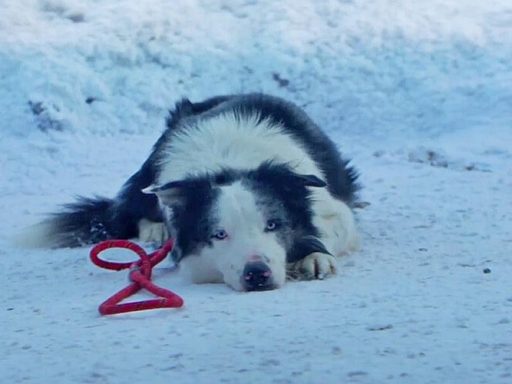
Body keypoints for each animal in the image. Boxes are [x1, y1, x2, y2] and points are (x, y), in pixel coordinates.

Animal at [30, 94, 360, 292]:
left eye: (272, 224)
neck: (228, 164)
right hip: (150, 170)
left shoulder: (332, 206)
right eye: (219, 234)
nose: (256, 274)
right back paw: (156, 229)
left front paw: (314, 255)